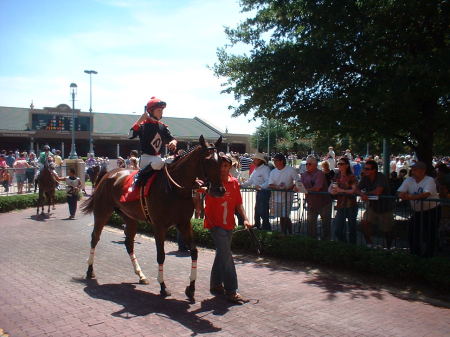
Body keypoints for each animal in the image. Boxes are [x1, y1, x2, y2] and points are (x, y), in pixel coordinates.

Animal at [81, 135, 225, 298]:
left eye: (220, 161)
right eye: (208, 161)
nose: (220, 190)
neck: (174, 188)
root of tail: (109, 173)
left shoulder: (184, 223)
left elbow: (194, 252)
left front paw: (191, 288)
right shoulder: (159, 226)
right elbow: (161, 255)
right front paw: (163, 286)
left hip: (130, 218)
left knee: (129, 243)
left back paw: (141, 275)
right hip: (102, 212)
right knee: (95, 238)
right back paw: (89, 270)